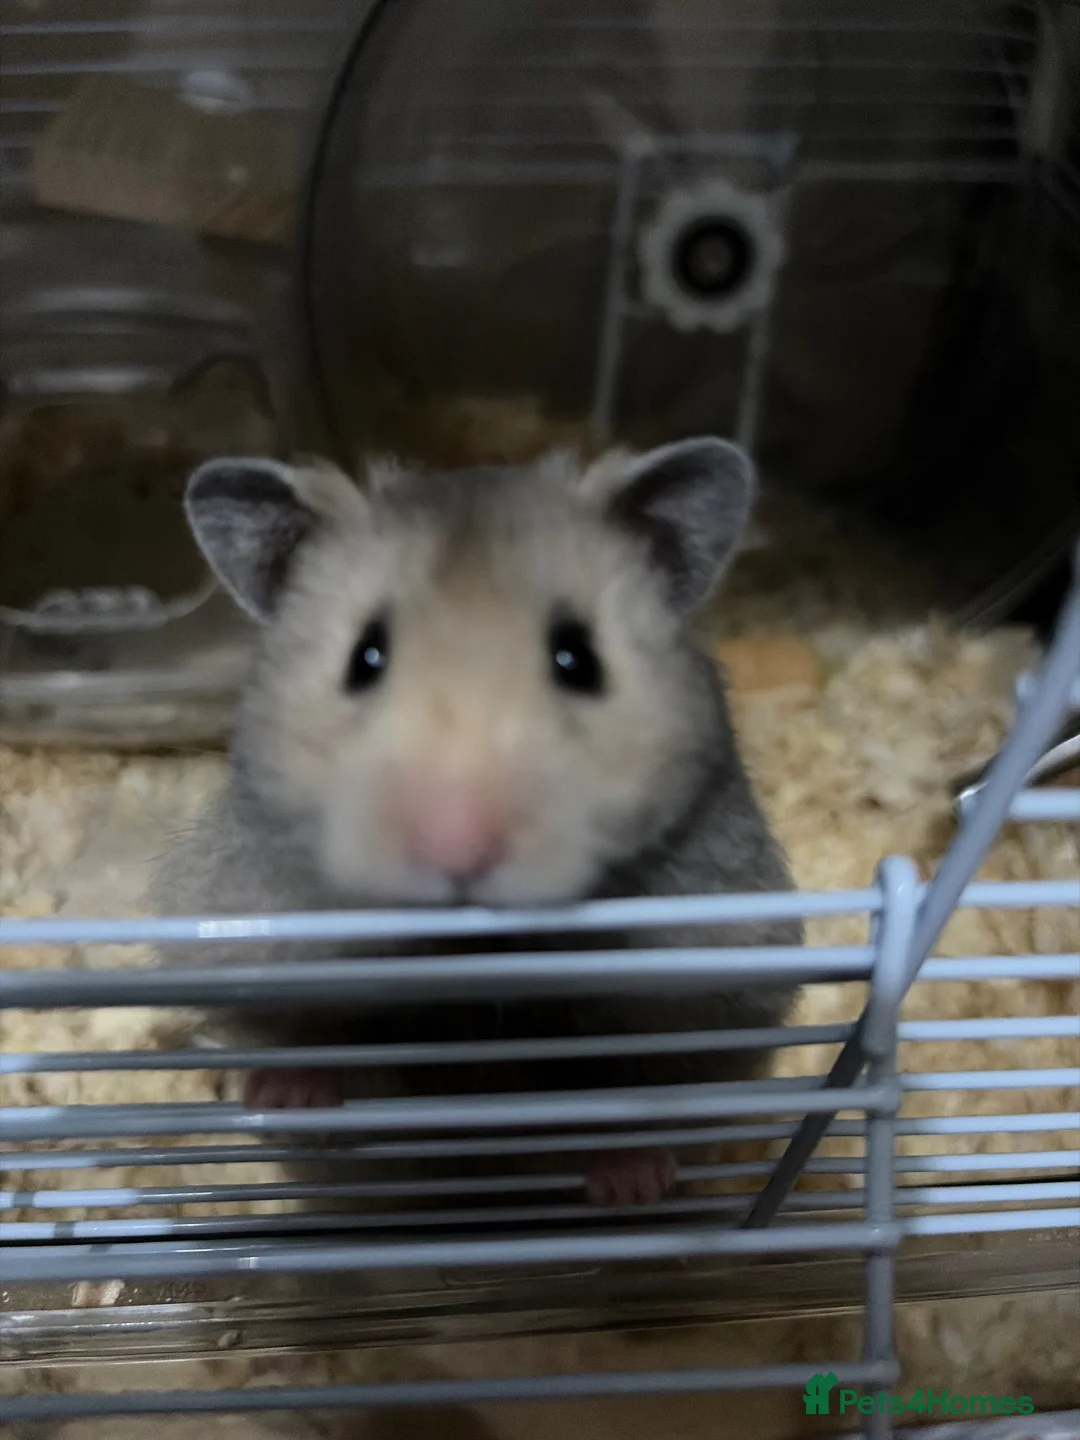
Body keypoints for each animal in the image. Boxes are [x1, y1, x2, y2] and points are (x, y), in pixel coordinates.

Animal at [152, 438, 801, 1205]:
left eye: (577, 656)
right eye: (365, 656)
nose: (456, 845)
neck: (471, 952)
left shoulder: (718, 986)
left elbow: (640, 1079)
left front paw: (632, 1181)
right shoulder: (243, 925)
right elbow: (298, 1030)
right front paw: (292, 1107)